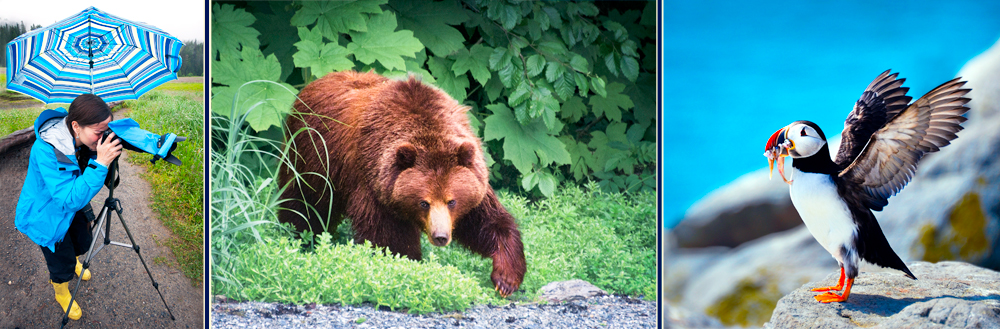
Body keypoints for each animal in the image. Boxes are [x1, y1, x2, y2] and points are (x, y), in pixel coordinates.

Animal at [274, 69, 524, 294]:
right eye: (424, 202)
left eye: (451, 201)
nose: (440, 237)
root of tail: (312, 85)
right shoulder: (374, 185)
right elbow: (390, 239)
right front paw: (409, 266)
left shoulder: (471, 179)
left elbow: (486, 221)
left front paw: (505, 279)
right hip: (311, 158)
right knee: (304, 204)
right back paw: (300, 238)